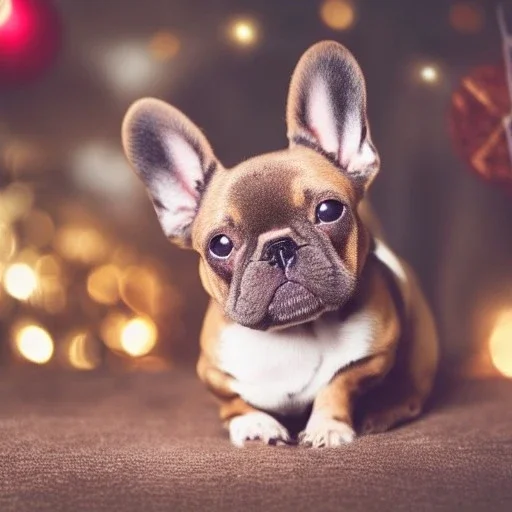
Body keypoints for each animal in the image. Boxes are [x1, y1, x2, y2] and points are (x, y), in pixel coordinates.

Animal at [122, 41, 438, 448]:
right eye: (220, 245)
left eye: (329, 210)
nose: (280, 246)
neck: (295, 333)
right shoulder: (211, 371)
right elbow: (233, 400)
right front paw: (254, 423)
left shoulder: (374, 355)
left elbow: (338, 383)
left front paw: (327, 426)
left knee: (411, 392)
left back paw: (382, 413)